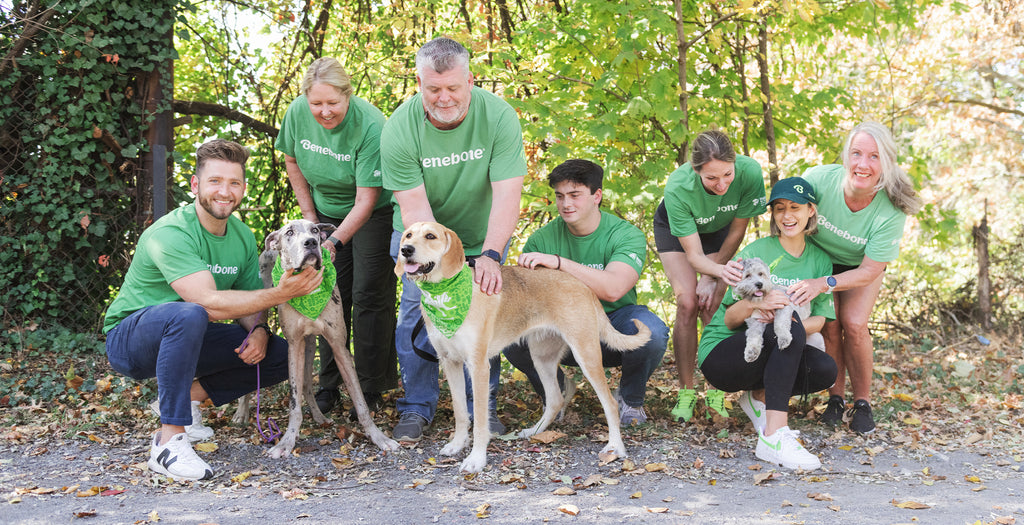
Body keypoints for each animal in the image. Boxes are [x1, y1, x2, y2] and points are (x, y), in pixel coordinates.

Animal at [235, 219, 399, 456]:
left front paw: (378, 437)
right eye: (289, 232)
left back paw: (319, 417)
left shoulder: (338, 346)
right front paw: (286, 441)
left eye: (314, 230)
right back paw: (241, 412)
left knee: (307, 385)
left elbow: (360, 401)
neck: (308, 292)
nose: (311, 242)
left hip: (311, 344)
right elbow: (294, 404)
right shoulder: (294, 345)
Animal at [391, 219, 647, 472]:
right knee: (555, 399)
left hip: (586, 354)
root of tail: (584, 285)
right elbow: (460, 411)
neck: (445, 293)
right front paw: (457, 444)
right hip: (542, 358)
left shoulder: (479, 367)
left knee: (610, 403)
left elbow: (480, 419)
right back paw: (535, 431)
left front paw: (476, 458)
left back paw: (615, 446)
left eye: (430, 236)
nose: (406, 250)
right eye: (408, 235)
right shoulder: (450, 362)